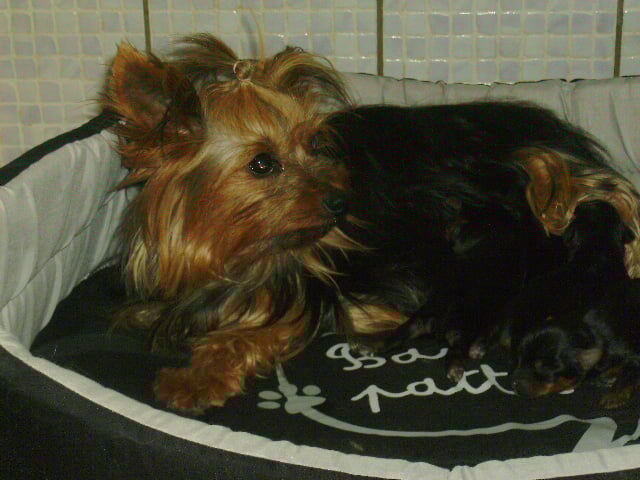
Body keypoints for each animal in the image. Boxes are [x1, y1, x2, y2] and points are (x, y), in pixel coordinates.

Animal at [102, 34, 640, 412]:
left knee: (609, 198)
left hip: (546, 171)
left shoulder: (304, 293)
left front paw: (196, 378)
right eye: (262, 163)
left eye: (314, 144)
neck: (235, 244)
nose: (340, 202)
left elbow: (254, 332)